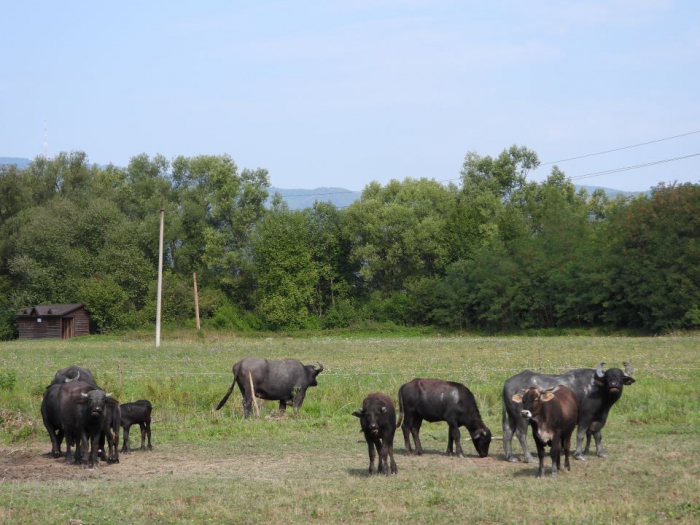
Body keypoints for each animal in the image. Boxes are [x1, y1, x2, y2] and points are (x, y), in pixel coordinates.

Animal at [504, 360, 636, 462]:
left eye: (620, 377)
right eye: (608, 377)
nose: (614, 385)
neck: (598, 390)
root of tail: (507, 384)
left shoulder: (599, 418)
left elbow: (598, 434)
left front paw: (601, 453)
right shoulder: (585, 417)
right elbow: (581, 434)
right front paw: (579, 454)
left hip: (511, 416)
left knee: (508, 432)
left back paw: (511, 457)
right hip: (523, 417)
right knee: (521, 434)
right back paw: (529, 458)